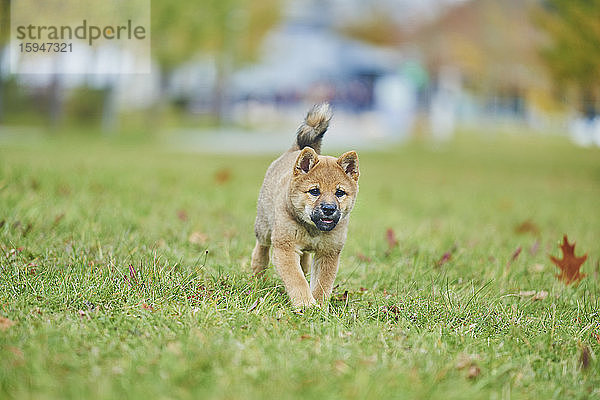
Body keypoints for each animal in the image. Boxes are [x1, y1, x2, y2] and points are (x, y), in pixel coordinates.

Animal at [251, 102, 358, 306]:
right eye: (314, 191)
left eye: (339, 193)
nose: (329, 209)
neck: (313, 230)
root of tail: (294, 150)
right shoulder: (285, 248)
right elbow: (296, 279)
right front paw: (306, 304)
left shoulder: (328, 253)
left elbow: (323, 284)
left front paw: (319, 306)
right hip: (265, 227)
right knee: (262, 246)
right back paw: (258, 271)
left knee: (305, 260)